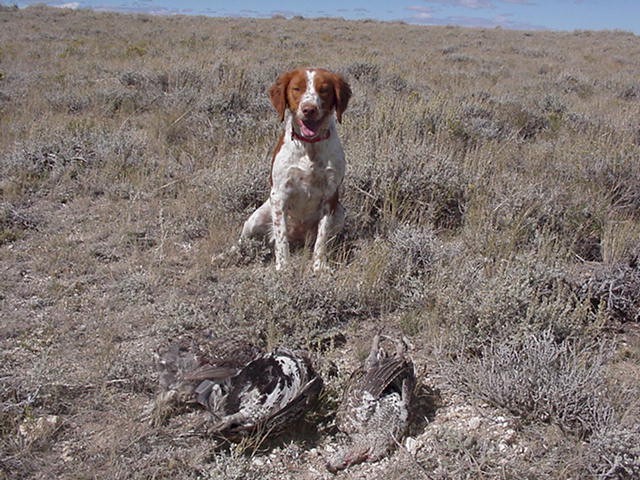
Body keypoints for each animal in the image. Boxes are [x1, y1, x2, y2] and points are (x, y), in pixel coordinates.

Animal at [241, 67, 352, 270]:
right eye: (296, 88)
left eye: (324, 90)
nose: (309, 109)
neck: (309, 146)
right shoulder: (279, 194)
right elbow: (281, 237)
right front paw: (283, 267)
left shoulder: (330, 195)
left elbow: (321, 238)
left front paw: (319, 266)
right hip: (255, 218)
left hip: (340, 213)